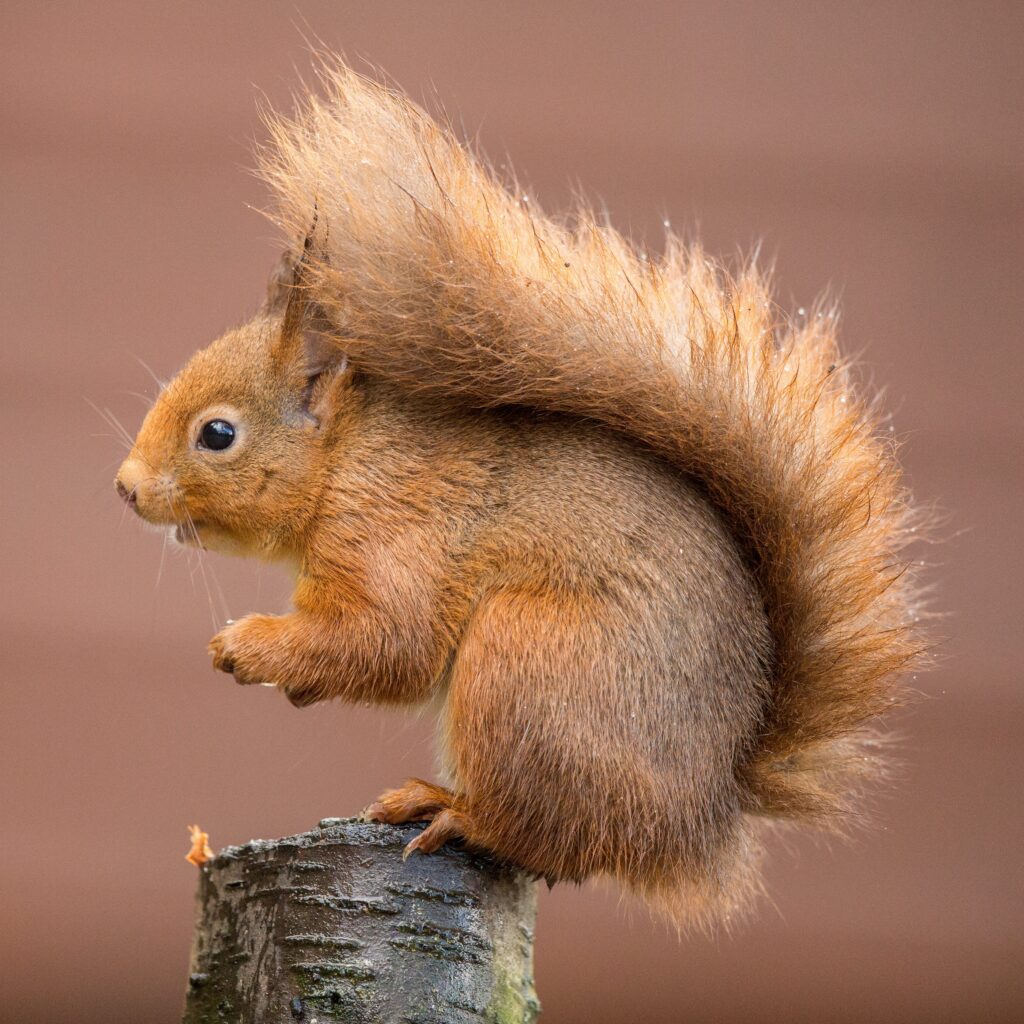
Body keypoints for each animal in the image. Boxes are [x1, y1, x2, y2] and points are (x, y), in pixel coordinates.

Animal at [114, 62, 925, 928]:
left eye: (217, 434)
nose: (125, 488)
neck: (347, 460)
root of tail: (699, 822)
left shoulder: (394, 529)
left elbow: (386, 641)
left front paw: (247, 644)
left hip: (527, 664)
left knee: (539, 835)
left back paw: (449, 809)